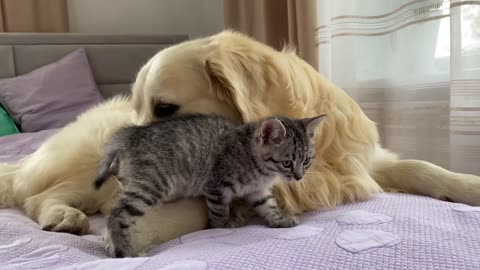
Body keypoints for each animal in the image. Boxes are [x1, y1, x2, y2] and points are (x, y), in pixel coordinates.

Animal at [94, 113, 324, 256]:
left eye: (306, 161)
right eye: (287, 163)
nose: (299, 177)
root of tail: (131, 133)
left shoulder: (258, 191)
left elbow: (268, 205)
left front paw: (280, 220)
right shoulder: (216, 186)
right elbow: (219, 213)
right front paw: (222, 226)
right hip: (150, 185)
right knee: (117, 215)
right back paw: (125, 250)